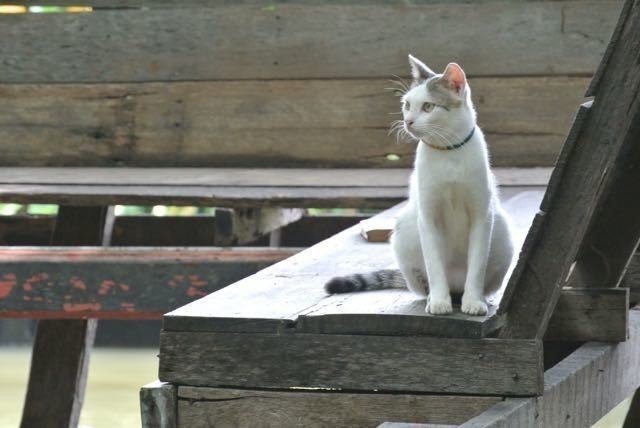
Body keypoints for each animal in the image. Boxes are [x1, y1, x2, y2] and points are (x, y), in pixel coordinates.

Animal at [324, 54, 516, 314]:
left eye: (428, 106)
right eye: (406, 104)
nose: (408, 121)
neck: (448, 153)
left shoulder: (482, 215)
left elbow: (477, 265)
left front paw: (474, 301)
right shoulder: (428, 216)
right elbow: (434, 264)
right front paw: (439, 301)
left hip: (502, 229)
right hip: (405, 229)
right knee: (422, 281)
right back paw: (433, 296)